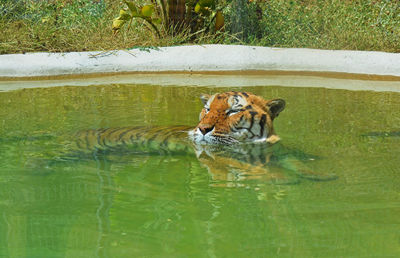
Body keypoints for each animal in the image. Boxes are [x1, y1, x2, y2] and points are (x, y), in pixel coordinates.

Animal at [59, 90, 334, 183]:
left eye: (233, 110)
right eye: (208, 109)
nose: (203, 129)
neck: (255, 143)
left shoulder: (276, 151)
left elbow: (294, 160)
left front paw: (320, 175)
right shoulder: (219, 155)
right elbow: (244, 166)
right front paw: (280, 178)